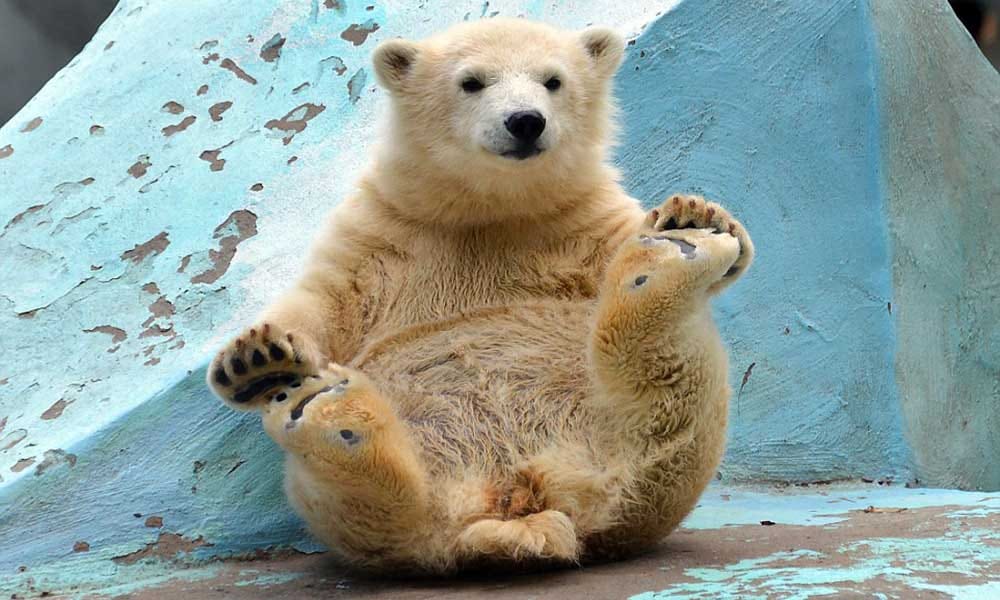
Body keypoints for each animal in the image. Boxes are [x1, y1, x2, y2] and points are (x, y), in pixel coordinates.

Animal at [207, 18, 754, 573]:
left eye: (552, 80)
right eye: (472, 82)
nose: (526, 121)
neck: (490, 208)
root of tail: (520, 499)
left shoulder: (586, 221)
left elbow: (640, 241)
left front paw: (697, 214)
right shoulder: (383, 230)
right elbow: (328, 299)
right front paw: (256, 358)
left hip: (648, 465)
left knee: (667, 407)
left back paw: (679, 251)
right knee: (378, 520)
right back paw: (323, 411)